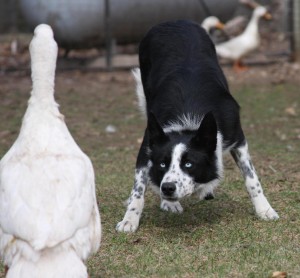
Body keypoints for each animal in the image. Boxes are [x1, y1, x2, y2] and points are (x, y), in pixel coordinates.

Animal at [116, 20, 278, 232]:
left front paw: (265, 210)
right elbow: (139, 185)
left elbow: (251, 178)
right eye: (162, 163)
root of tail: (173, 22)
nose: (168, 188)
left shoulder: (237, 138)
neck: (188, 122)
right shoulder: (148, 144)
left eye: (188, 164)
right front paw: (130, 219)